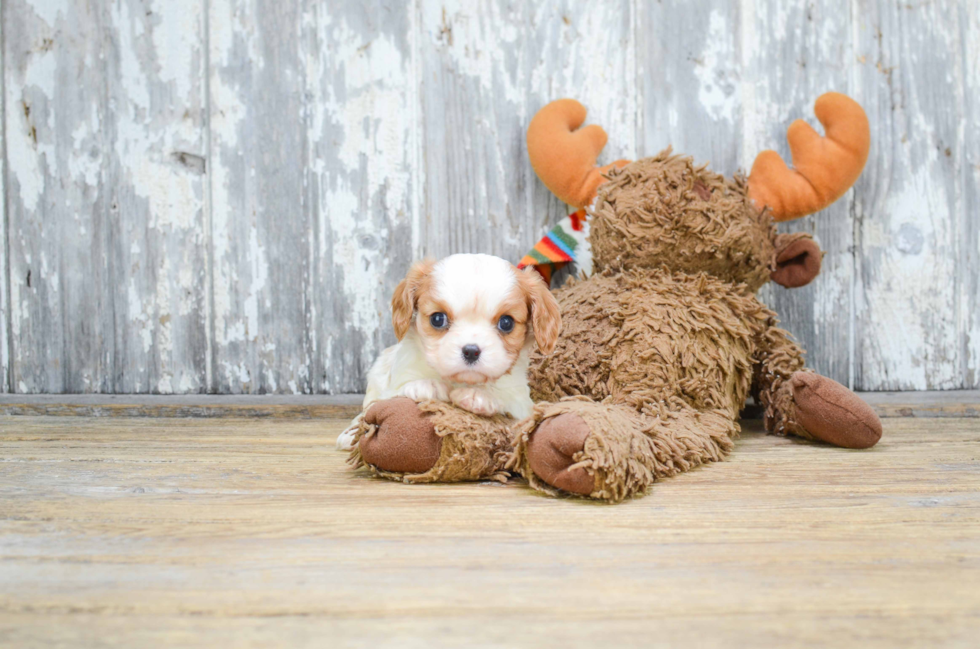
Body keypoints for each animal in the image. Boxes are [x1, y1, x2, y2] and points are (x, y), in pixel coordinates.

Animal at [336, 254, 560, 450]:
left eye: (506, 323)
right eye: (437, 319)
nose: (471, 351)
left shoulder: (522, 404)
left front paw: (479, 396)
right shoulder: (392, 385)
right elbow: (394, 394)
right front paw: (426, 386)